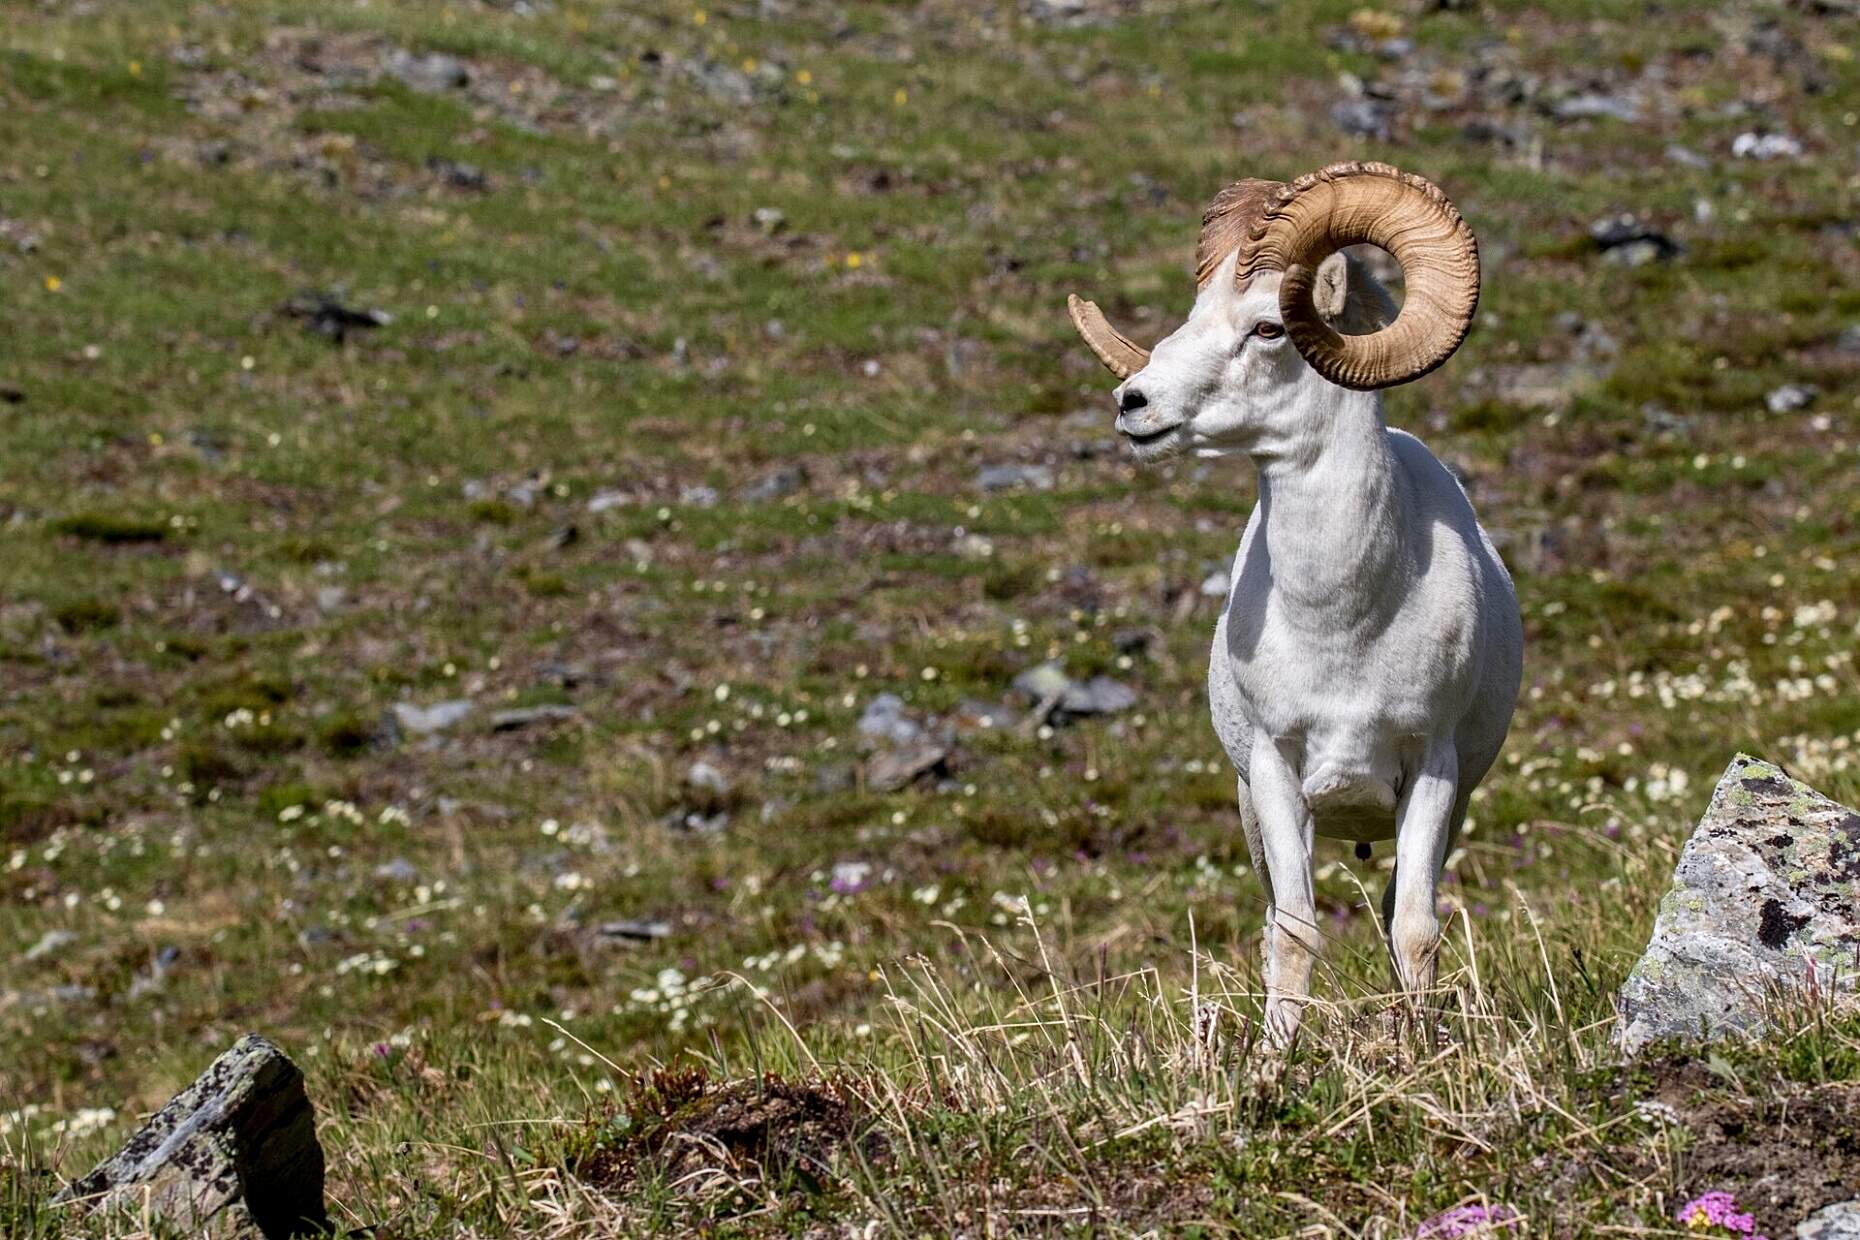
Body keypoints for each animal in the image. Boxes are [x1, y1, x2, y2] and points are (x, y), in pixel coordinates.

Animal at [1071, 159, 1517, 1041]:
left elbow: (1415, 928)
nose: (1133, 404)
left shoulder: (1435, 772)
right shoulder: (1276, 778)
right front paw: (1277, 1056)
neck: (1344, 628)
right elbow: (1294, 932)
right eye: (1193, 315)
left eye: (1270, 329)